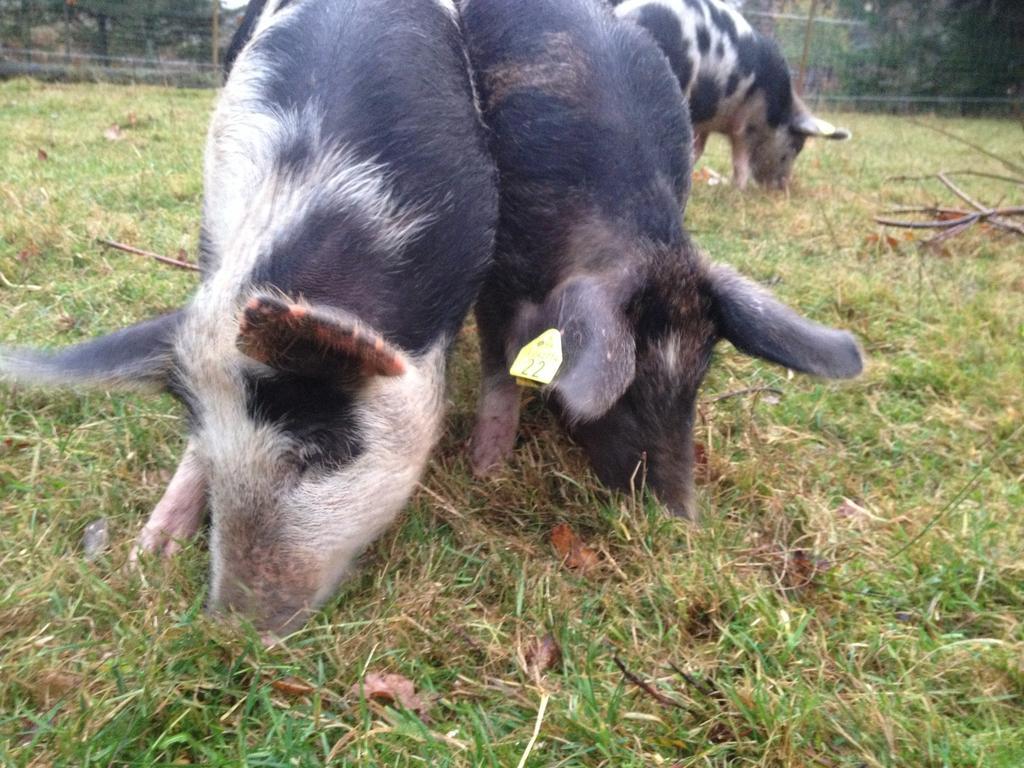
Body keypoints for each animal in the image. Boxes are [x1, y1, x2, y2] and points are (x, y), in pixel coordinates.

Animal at [614, 0, 847, 189]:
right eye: (796, 146)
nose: (782, 188)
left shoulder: (704, 123)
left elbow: (698, 149)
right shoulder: (747, 124)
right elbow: (740, 160)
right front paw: (738, 190)